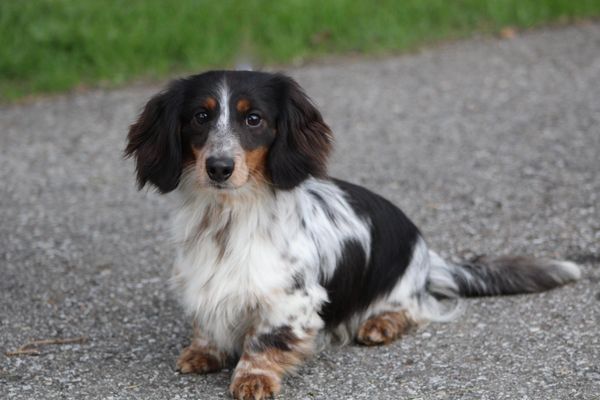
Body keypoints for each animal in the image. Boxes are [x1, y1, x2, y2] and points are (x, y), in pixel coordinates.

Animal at [125, 70, 580, 398]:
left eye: (253, 118)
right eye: (200, 117)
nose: (219, 167)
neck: (227, 217)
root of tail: (427, 256)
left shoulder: (292, 299)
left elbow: (265, 342)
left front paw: (252, 378)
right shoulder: (204, 282)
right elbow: (207, 324)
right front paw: (203, 353)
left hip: (399, 287)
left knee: (415, 308)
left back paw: (381, 323)